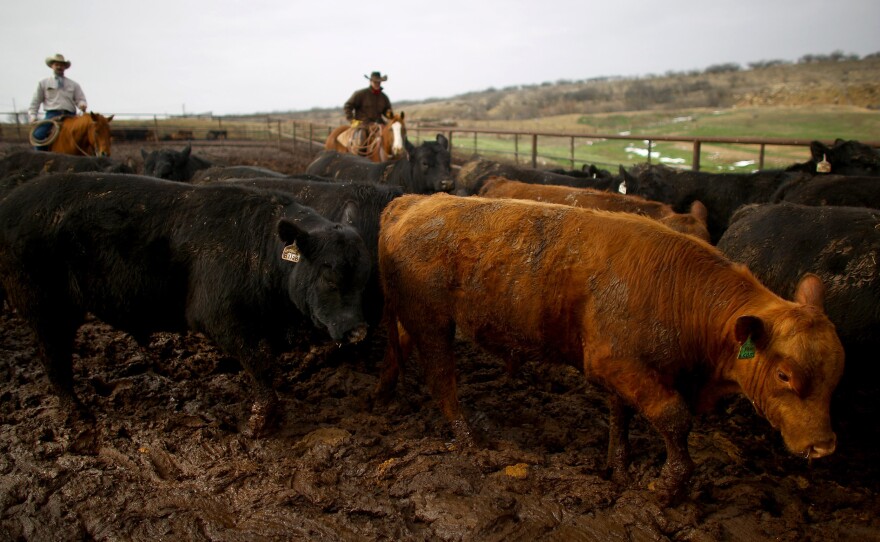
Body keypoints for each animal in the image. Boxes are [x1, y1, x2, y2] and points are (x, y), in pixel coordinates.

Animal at [0, 174, 372, 438]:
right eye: (329, 276)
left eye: (364, 276)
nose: (358, 330)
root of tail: (10, 202)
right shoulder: (220, 317)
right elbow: (260, 362)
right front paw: (257, 426)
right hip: (43, 305)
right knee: (53, 357)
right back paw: (79, 417)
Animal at [376, 194, 844, 506]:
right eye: (785, 374)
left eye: (836, 375)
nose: (823, 446)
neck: (679, 293)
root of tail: (415, 200)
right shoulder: (615, 364)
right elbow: (675, 419)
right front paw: (667, 487)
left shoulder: (627, 369)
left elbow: (621, 416)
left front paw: (618, 468)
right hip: (432, 322)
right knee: (442, 380)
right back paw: (469, 440)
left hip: (413, 318)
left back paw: (385, 393)